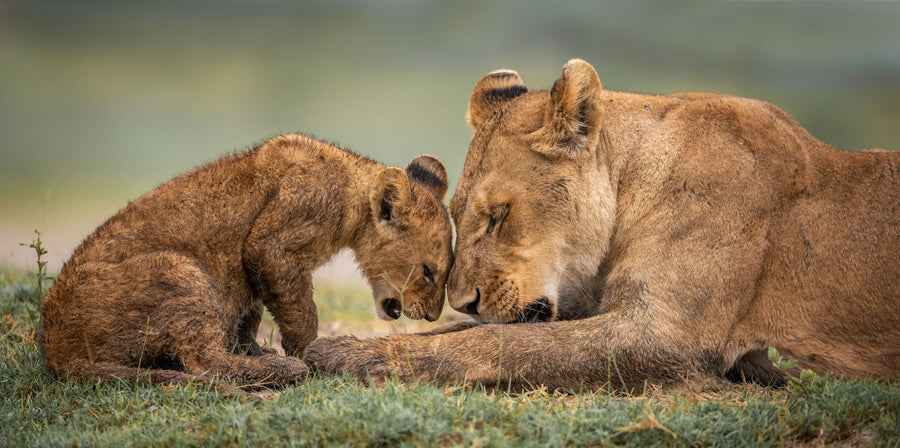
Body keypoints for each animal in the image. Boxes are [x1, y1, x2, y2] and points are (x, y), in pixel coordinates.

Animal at [39, 133, 452, 391]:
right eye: (429, 272)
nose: (433, 316)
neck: (352, 187)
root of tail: (55, 349)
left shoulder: (249, 266)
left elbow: (250, 310)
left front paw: (253, 346)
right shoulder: (274, 245)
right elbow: (301, 313)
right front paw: (311, 353)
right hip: (178, 268)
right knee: (204, 362)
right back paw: (284, 370)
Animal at [304, 60, 900, 391]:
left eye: (498, 217)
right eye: (455, 216)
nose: (464, 301)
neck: (631, 185)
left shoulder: (667, 336)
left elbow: (498, 343)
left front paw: (348, 355)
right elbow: (467, 335)